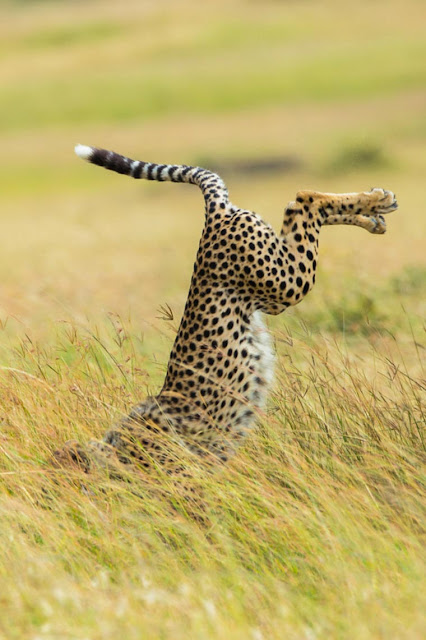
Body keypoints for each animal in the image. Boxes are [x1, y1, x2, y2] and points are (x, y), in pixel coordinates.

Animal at [52, 145, 396, 472]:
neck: (110, 447)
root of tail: (215, 215)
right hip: (274, 289)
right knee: (296, 207)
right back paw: (374, 212)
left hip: (286, 281)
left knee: (303, 199)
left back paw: (375, 201)